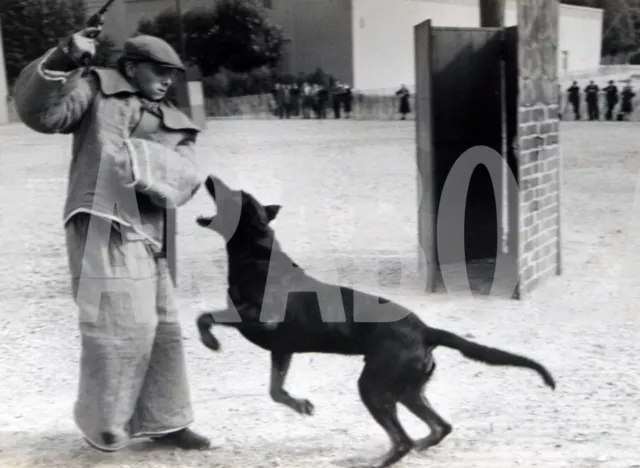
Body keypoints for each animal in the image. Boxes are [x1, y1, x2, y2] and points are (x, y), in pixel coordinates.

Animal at [196, 176, 556, 468]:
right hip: (407, 390)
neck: (257, 253)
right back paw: (421, 444)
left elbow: (204, 316)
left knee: (402, 440)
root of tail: (426, 331)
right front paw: (301, 405)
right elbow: (275, 390)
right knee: (439, 427)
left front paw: (209, 341)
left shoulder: (259, 321)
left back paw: (384, 459)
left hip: (373, 386)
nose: (209, 177)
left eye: (235, 194)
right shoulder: (281, 349)